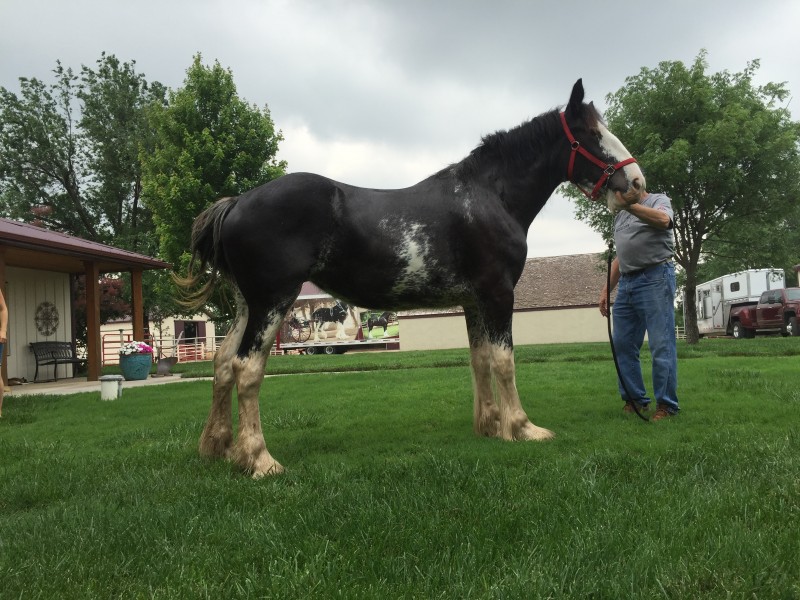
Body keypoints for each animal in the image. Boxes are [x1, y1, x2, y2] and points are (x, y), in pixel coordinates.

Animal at [181, 79, 644, 477]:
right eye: (591, 133)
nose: (637, 182)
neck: (489, 196)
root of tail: (237, 202)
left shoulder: (473, 301)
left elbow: (479, 359)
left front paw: (491, 427)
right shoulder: (497, 295)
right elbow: (504, 360)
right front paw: (523, 427)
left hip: (249, 304)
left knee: (222, 364)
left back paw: (219, 448)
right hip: (273, 301)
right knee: (247, 368)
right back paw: (260, 460)